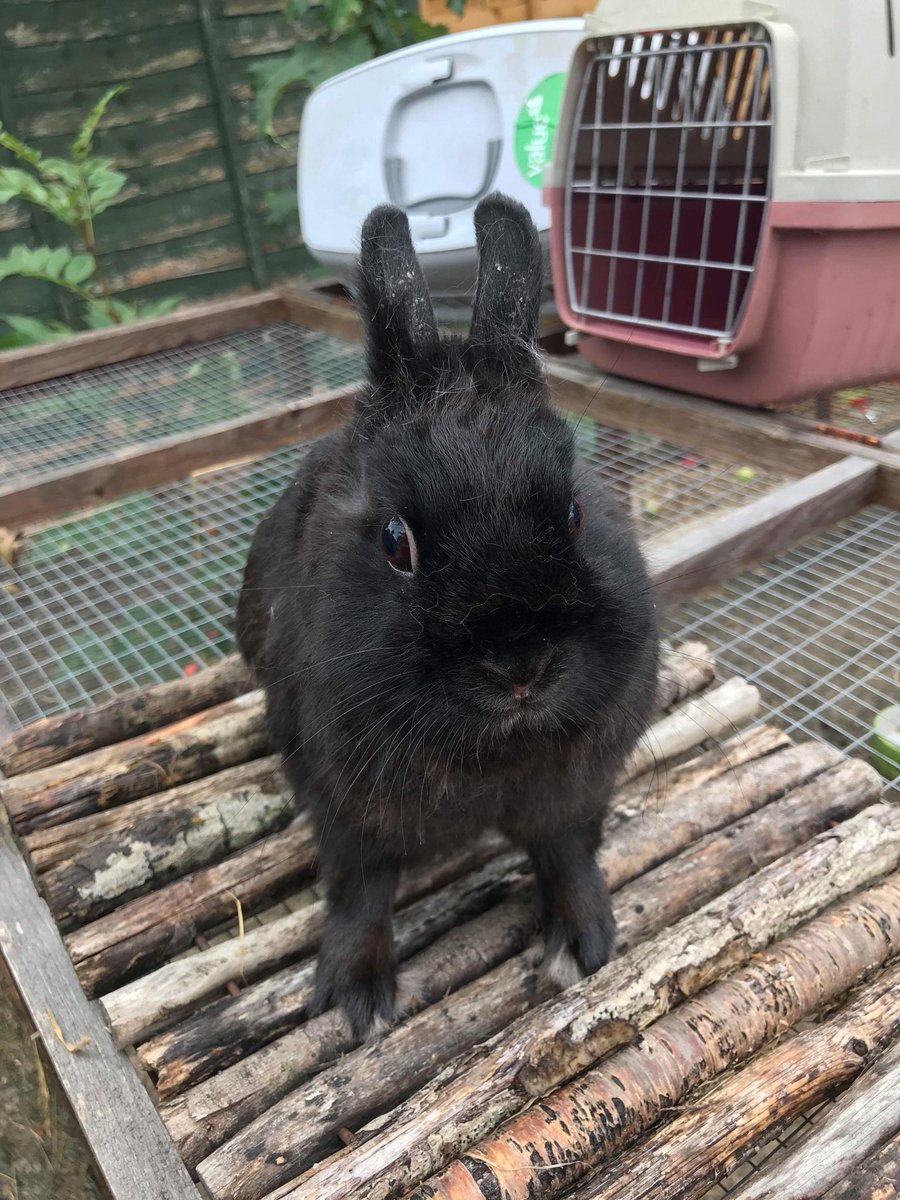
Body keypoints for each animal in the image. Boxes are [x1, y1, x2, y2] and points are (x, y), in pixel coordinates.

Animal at [235, 193, 659, 1038]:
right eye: (396, 542)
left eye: (574, 513)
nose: (521, 667)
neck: (494, 752)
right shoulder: (346, 814)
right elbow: (360, 894)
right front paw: (357, 1000)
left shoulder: (572, 797)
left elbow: (568, 857)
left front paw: (585, 944)